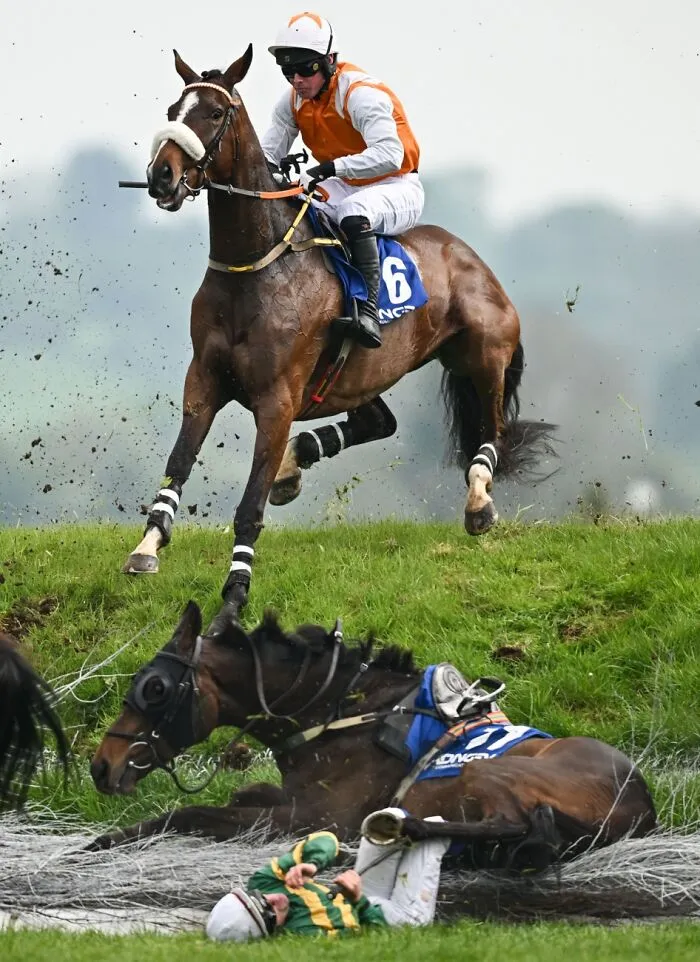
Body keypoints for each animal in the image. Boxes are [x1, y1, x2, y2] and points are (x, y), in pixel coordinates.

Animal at [89, 603, 656, 871]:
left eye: (155, 688)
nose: (102, 765)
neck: (339, 711)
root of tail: (639, 810)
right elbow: (243, 791)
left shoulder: (311, 816)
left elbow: (193, 812)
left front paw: (109, 837)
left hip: (488, 770)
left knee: (516, 822)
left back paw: (396, 829)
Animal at [122, 47, 555, 624]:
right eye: (174, 108)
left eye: (215, 114)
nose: (161, 177)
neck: (255, 267)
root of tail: (470, 256)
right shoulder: (204, 383)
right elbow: (177, 464)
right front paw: (147, 546)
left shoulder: (277, 400)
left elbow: (249, 507)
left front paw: (234, 597)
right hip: (357, 376)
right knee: (378, 422)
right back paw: (295, 462)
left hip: (484, 357)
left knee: (492, 432)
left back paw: (480, 501)